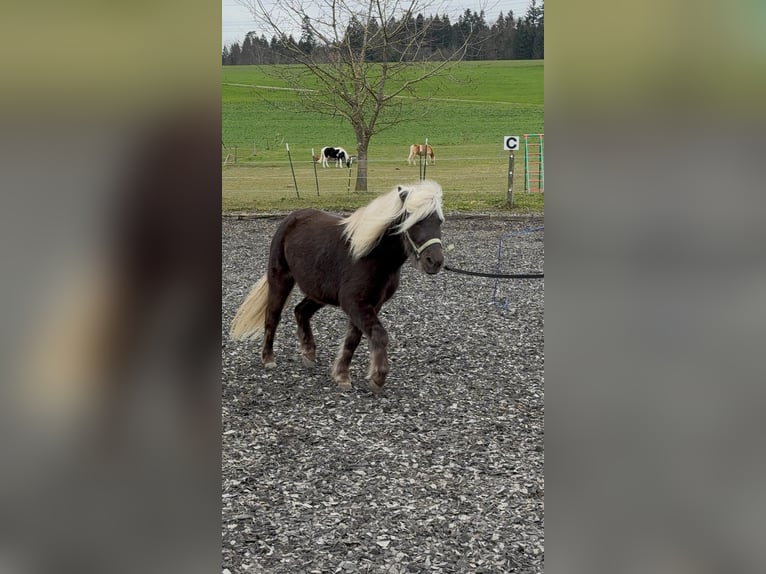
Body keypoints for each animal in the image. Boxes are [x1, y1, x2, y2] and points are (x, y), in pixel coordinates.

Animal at [229, 180, 445, 393]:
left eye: (440, 221)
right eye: (415, 221)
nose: (435, 261)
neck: (371, 255)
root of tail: (291, 218)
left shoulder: (372, 303)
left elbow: (353, 339)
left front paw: (341, 375)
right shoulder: (354, 302)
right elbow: (378, 335)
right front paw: (377, 377)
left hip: (318, 292)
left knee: (301, 311)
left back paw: (308, 353)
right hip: (280, 279)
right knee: (272, 317)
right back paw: (268, 359)